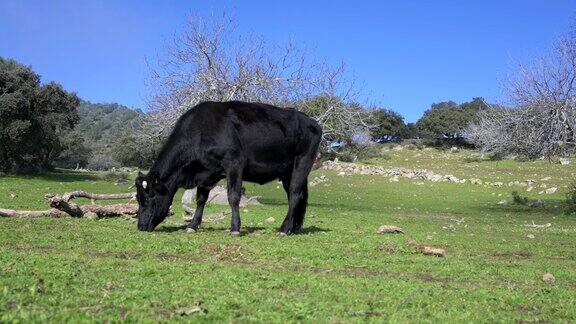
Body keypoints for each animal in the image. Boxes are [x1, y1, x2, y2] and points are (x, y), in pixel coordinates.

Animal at [136, 100, 324, 234]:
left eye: (149, 197)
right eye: (138, 198)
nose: (140, 226)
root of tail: (312, 122)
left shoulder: (234, 162)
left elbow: (233, 197)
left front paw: (235, 228)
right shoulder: (207, 172)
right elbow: (201, 199)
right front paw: (192, 226)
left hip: (303, 162)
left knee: (294, 194)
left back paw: (284, 229)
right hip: (287, 172)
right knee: (300, 195)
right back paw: (295, 228)